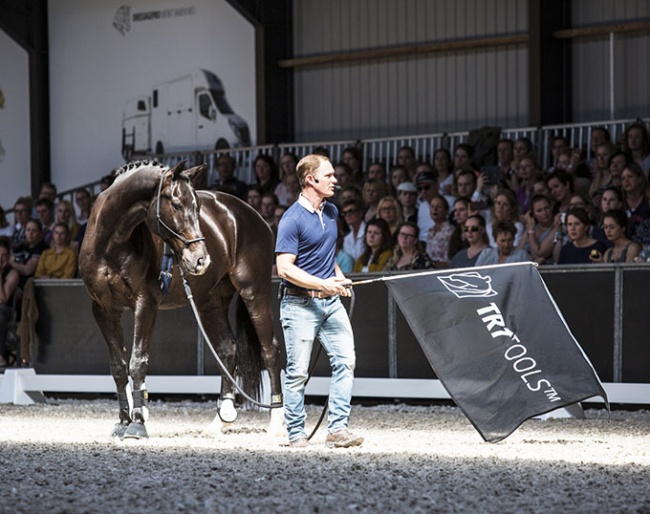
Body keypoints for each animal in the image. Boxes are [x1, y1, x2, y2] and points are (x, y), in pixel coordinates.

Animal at [78, 161, 280, 436]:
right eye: (176, 205)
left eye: (198, 206)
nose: (201, 259)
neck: (110, 244)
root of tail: (253, 215)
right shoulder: (103, 310)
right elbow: (118, 367)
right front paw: (122, 423)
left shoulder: (145, 304)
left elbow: (137, 362)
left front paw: (138, 424)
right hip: (209, 303)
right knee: (228, 349)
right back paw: (220, 420)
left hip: (254, 292)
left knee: (270, 350)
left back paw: (279, 423)